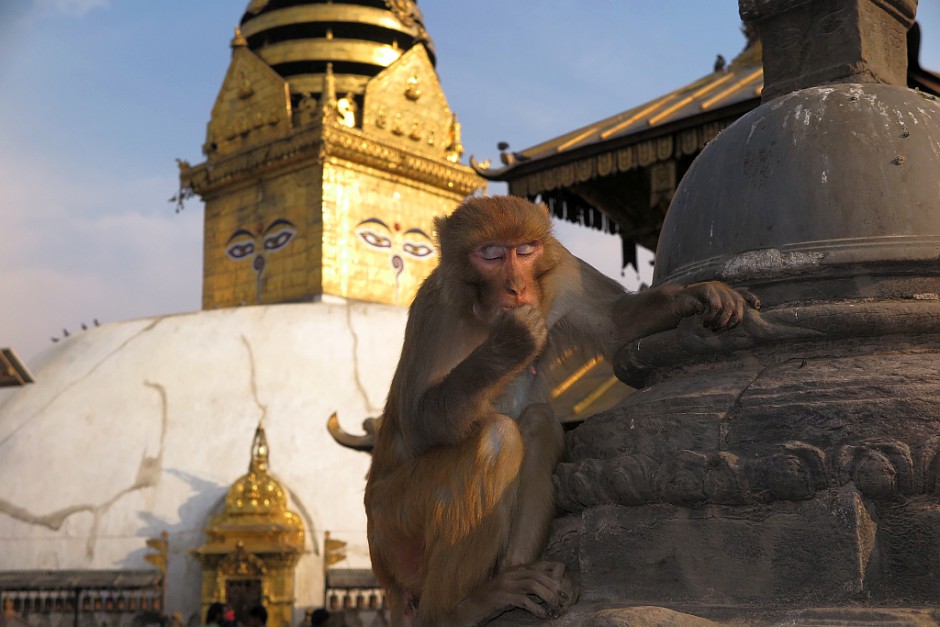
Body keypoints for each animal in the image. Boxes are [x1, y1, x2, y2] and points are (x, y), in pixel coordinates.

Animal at [364, 194, 760, 624]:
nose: (517, 286)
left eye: (525, 250)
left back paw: (515, 577)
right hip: (393, 524)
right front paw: (511, 342)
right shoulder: (435, 310)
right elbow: (421, 423)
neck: (481, 312)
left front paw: (699, 293)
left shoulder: (564, 270)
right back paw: (459, 610)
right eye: (491, 254)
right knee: (496, 436)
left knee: (537, 421)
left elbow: (616, 324)